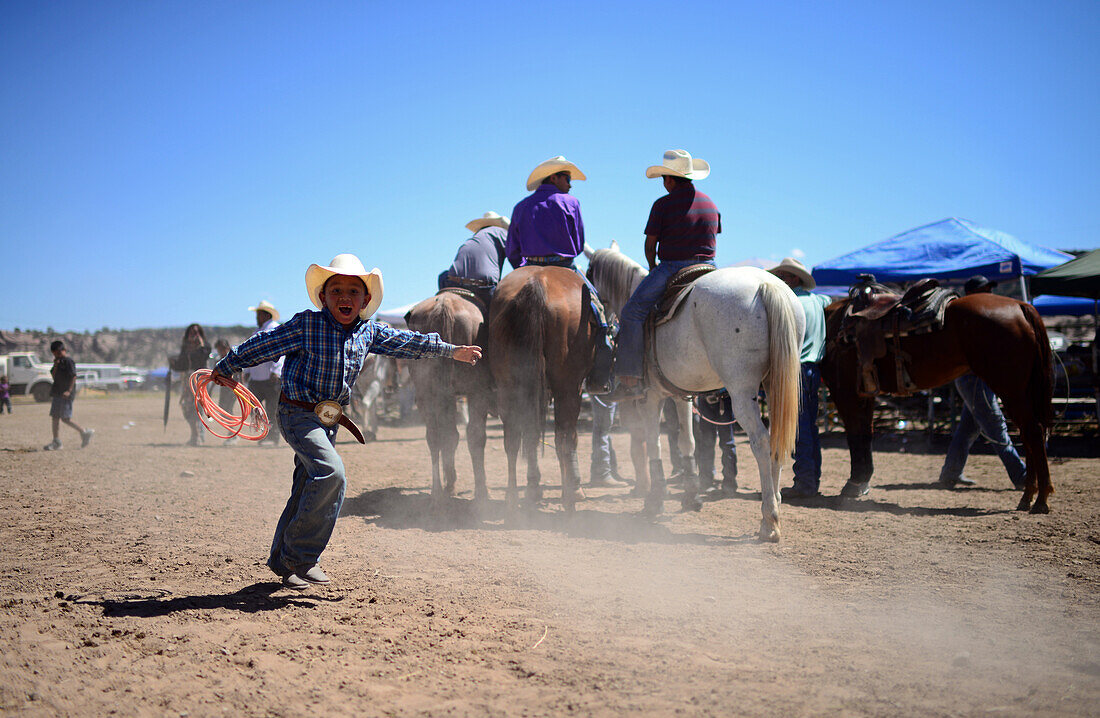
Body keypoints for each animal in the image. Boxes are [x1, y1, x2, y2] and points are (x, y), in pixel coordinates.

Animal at [404, 290, 490, 503]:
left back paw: (437, 491)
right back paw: (478, 491)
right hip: (475, 392)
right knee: (472, 435)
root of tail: (444, 306)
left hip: (428, 392)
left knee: (437, 436)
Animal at [486, 266, 598, 512]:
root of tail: (538, 281)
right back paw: (569, 496)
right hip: (568, 387)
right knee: (565, 436)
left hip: (510, 387)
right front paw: (574, 487)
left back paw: (512, 497)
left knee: (513, 438)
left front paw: (533, 488)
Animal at [589, 244, 805, 540]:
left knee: (760, 441)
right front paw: (691, 495)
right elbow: (687, 442)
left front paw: (654, 501)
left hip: (742, 391)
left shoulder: (650, 398)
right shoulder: (680, 396)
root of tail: (766, 285)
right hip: (775, 387)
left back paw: (769, 521)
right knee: (777, 440)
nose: (603, 321)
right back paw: (775, 504)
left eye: (589, 273)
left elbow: (654, 443)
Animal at [822, 288, 1051, 512]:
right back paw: (1027, 497)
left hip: (1011, 391)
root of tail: (1021, 306)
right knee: (1027, 435)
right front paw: (862, 482)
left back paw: (1040, 500)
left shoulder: (845, 393)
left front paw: (853, 484)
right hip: (1020, 393)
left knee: (1033, 432)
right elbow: (865, 434)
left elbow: (855, 435)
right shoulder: (865, 394)